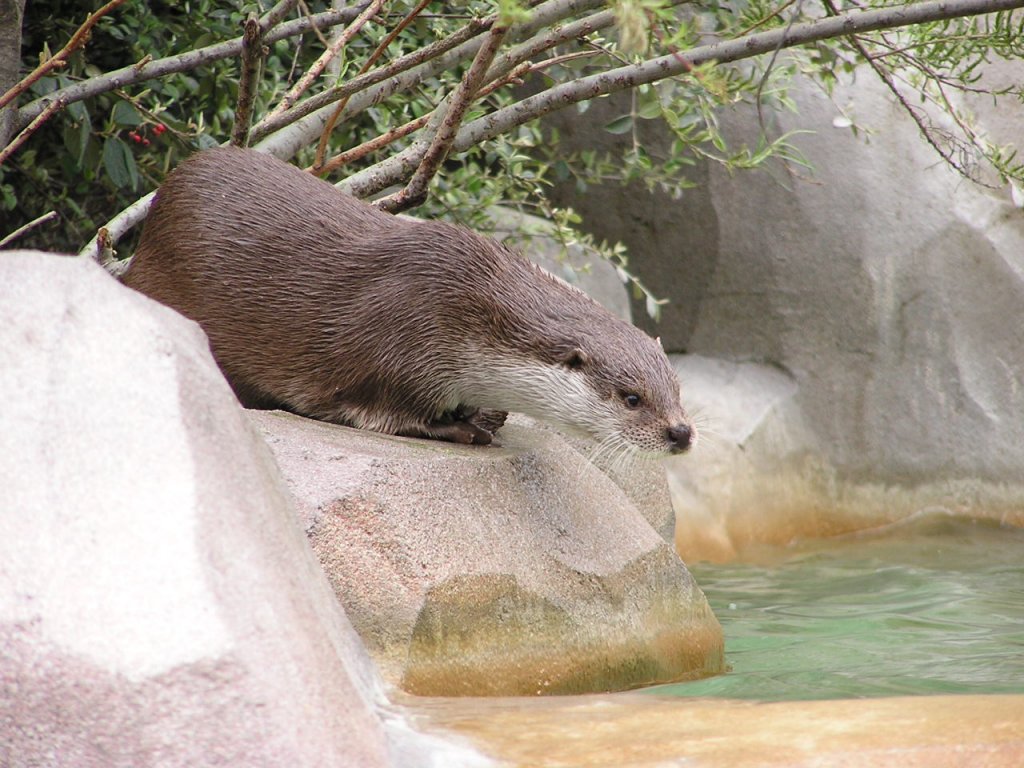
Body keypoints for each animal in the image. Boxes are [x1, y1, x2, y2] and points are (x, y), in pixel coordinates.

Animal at [121, 147, 696, 454]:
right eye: (631, 398)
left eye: (675, 390)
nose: (681, 432)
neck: (465, 315)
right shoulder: (396, 348)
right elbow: (384, 415)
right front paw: (464, 427)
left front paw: (485, 414)